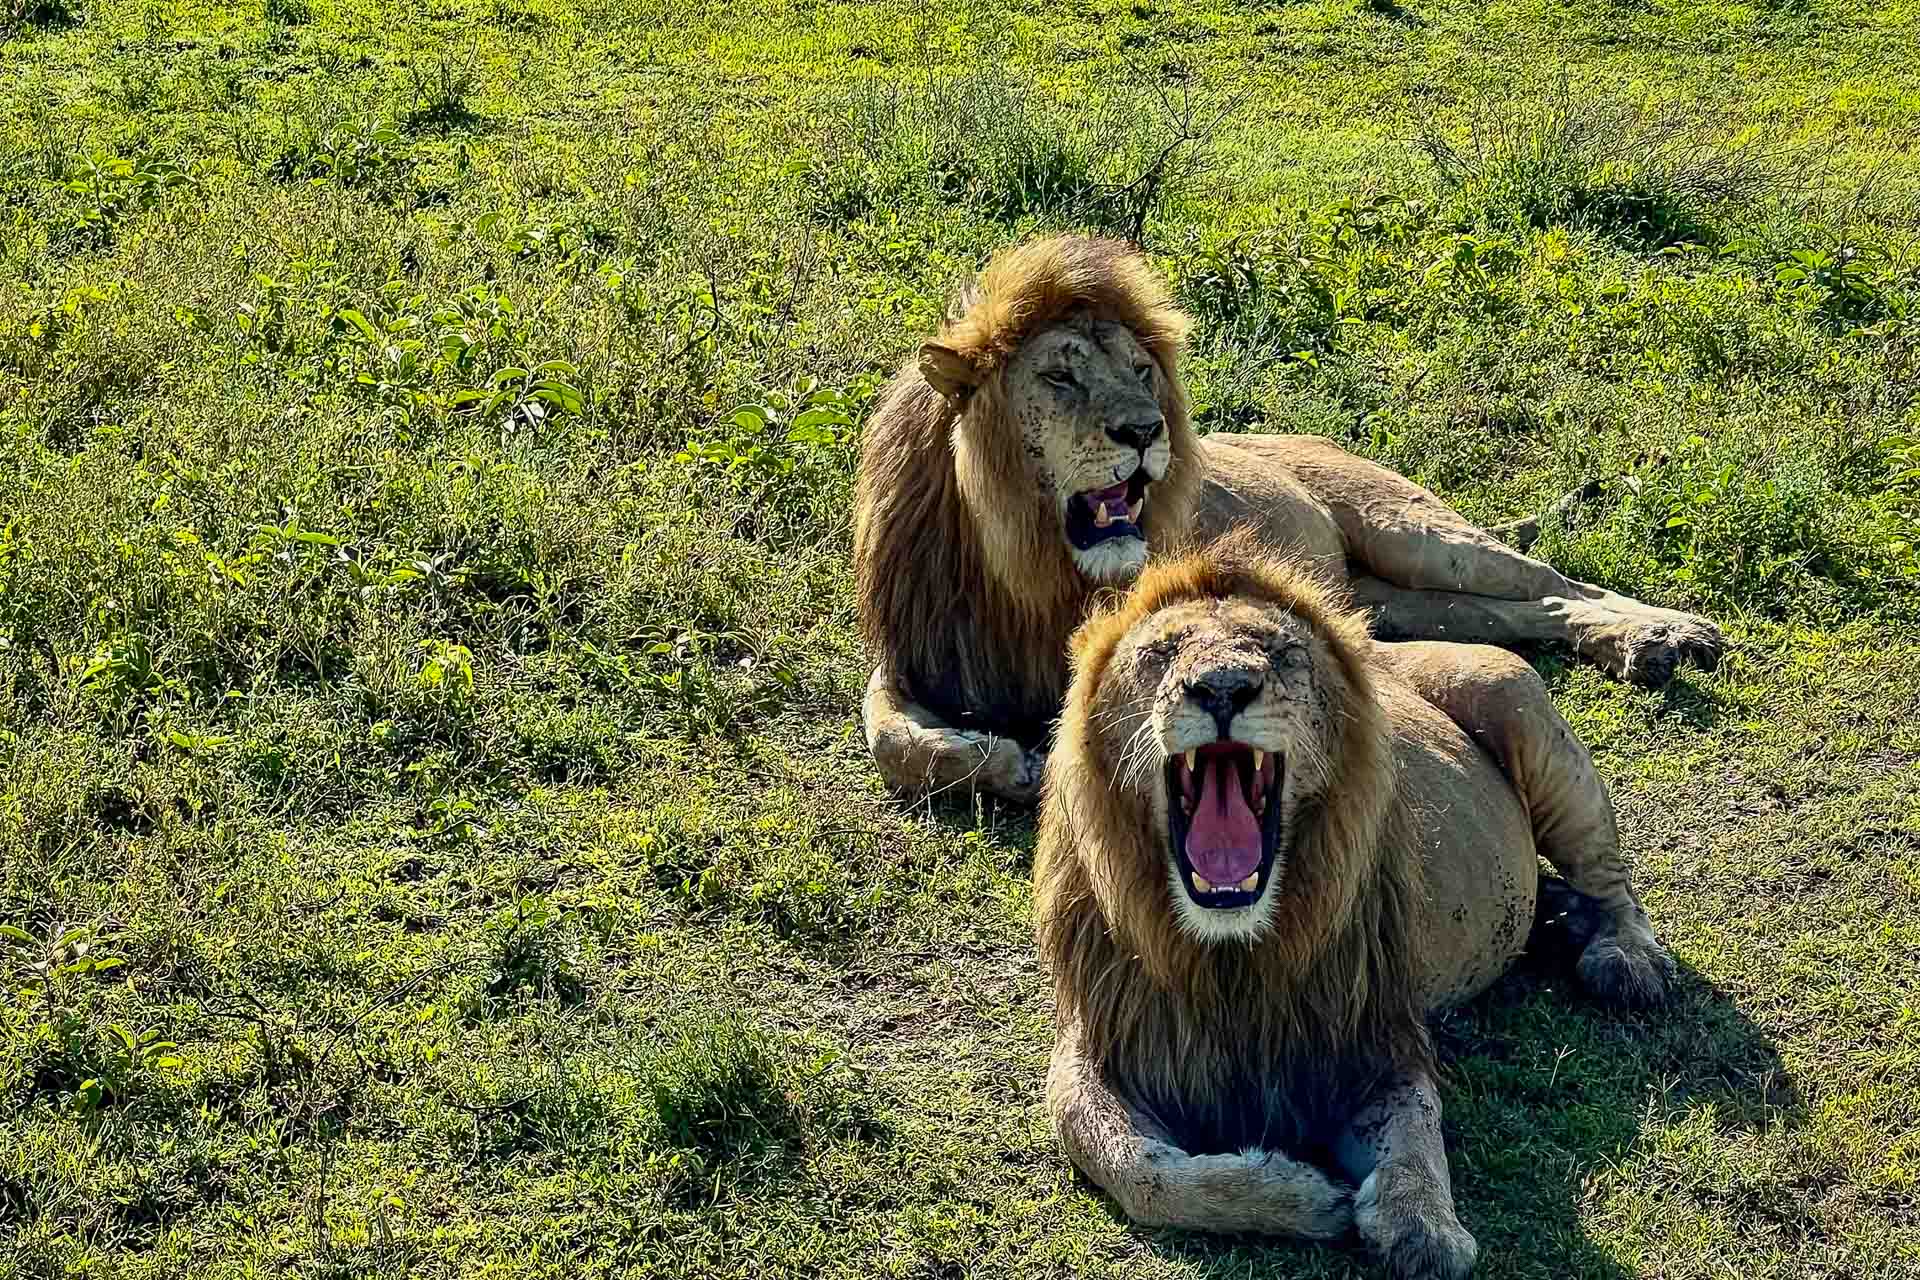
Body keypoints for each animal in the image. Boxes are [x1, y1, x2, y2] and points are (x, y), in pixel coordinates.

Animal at [856, 230, 1728, 802]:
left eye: (1142, 371)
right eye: (1060, 378)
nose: (1147, 431)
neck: (1024, 563)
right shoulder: (917, 650)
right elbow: (888, 735)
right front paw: (996, 759)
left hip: (1415, 531)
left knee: (1552, 581)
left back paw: (1667, 633)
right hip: (1388, 598)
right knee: (1516, 611)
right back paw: (1639, 649)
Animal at [1029, 529, 1674, 1274]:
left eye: (1279, 651)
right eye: (1160, 653)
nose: (1222, 689)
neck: (1232, 954)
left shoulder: (1375, 1035)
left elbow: (1415, 1130)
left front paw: (1422, 1227)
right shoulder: (1102, 1037)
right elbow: (1130, 1162)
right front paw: (1304, 1196)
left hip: (1521, 709)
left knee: (1610, 876)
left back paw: (1624, 957)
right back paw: (1564, 921)